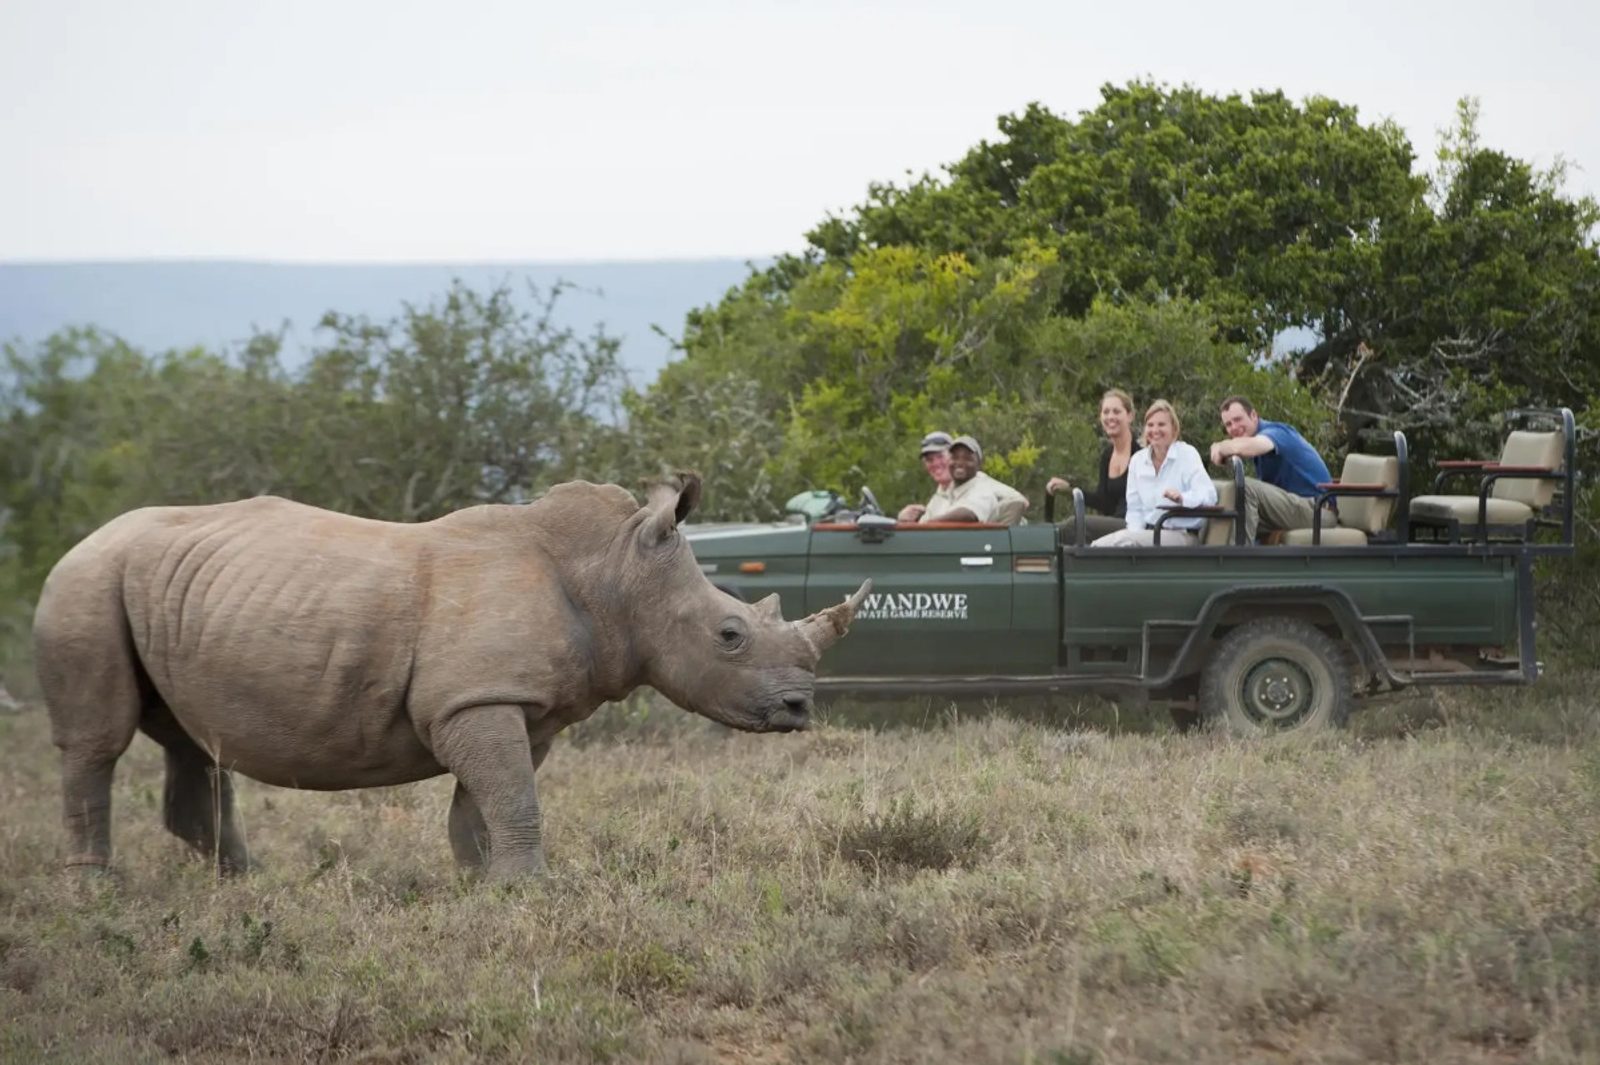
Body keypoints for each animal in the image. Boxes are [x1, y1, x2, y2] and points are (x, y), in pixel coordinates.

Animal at [32, 475, 868, 880]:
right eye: (730, 634)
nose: (799, 707)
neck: (613, 574)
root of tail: (79, 541)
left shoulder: (510, 702)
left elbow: (486, 801)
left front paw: (484, 884)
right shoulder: (480, 696)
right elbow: (512, 795)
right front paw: (531, 889)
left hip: (164, 594)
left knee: (191, 742)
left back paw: (252, 883)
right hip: (85, 584)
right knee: (98, 744)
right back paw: (96, 890)